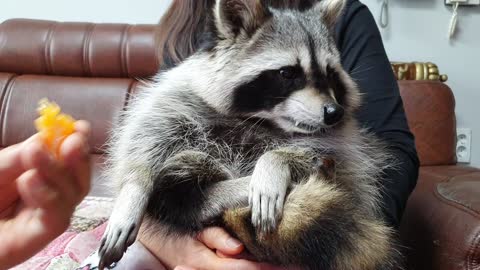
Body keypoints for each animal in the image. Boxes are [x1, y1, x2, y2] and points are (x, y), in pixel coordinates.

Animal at [96, 0, 398, 270]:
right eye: (287, 73)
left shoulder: (342, 143)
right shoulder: (180, 98)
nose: (334, 112)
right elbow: (145, 136)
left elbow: (332, 158)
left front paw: (273, 162)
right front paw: (133, 191)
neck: (261, 120)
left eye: (329, 73)